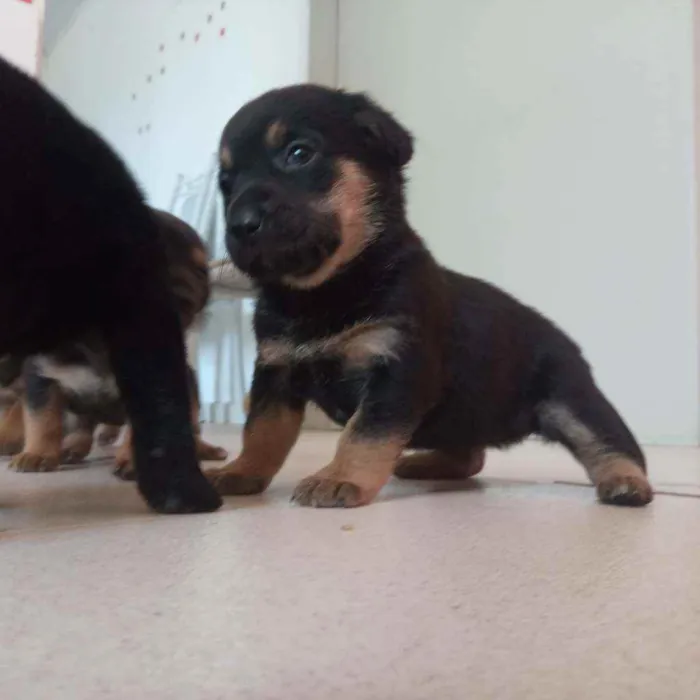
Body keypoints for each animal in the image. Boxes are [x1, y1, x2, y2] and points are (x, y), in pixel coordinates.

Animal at [0, 56, 221, 516]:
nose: (186, 284)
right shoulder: (41, 379)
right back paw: (70, 449)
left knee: (189, 428)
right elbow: (42, 419)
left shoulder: (162, 376)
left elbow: (156, 429)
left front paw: (132, 464)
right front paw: (38, 453)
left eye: (201, 269)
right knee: (83, 426)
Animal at [206, 86, 652, 508]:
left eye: (299, 153)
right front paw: (240, 472)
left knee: (610, 441)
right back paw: (427, 463)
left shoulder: (397, 369)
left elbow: (363, 433)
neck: (324, 290)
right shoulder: (275, 373)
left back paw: (626, 481)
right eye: (226, 183)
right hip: (465, 415)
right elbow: (262, 432)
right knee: (471, 455)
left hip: (570, 400)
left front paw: (340, 478)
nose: (240, 224)